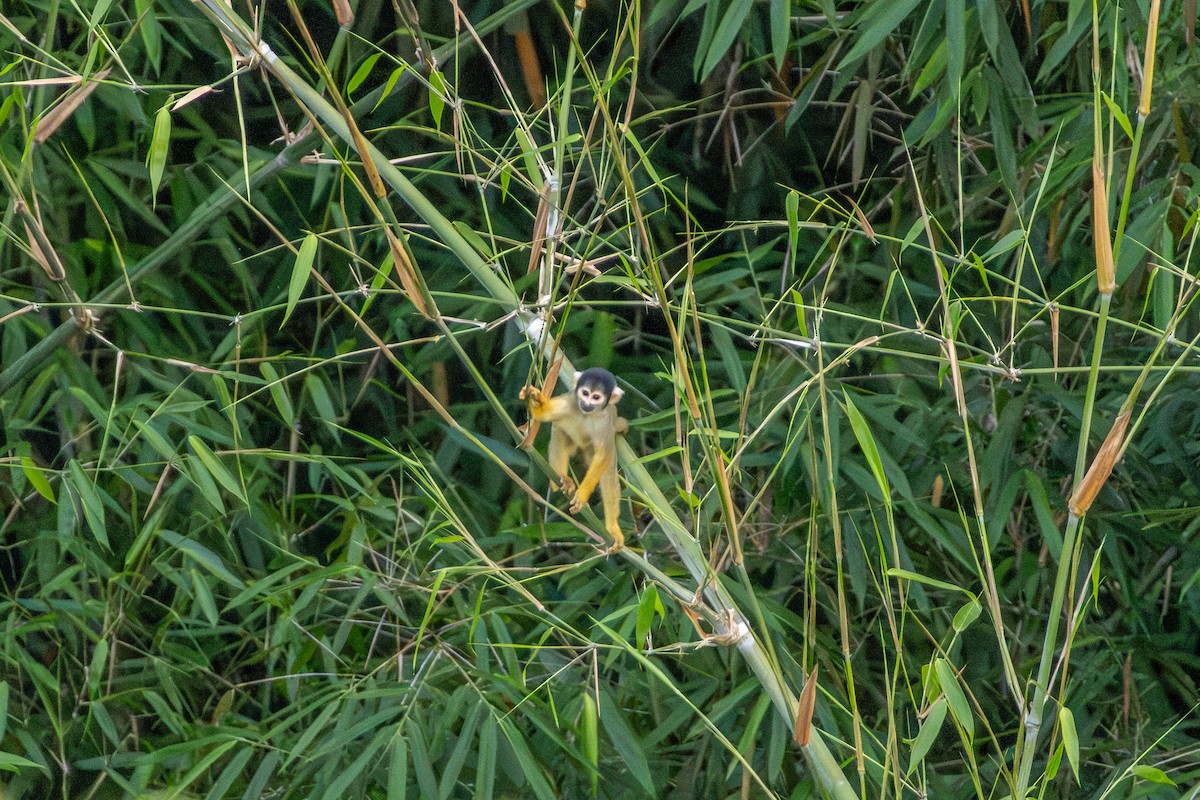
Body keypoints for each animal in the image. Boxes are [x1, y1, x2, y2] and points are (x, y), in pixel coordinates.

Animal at [519, 367, 628, 551]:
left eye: (596, 397)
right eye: (585, 393)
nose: (587, 403)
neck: (586, 414)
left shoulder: (606, 422)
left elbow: (604, 456)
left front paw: (582, 496)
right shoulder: (570, 401)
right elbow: (544, 415)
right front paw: (534, 396)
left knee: (608, 469)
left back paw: (612, 527)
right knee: (559, 430)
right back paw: (560, 481)